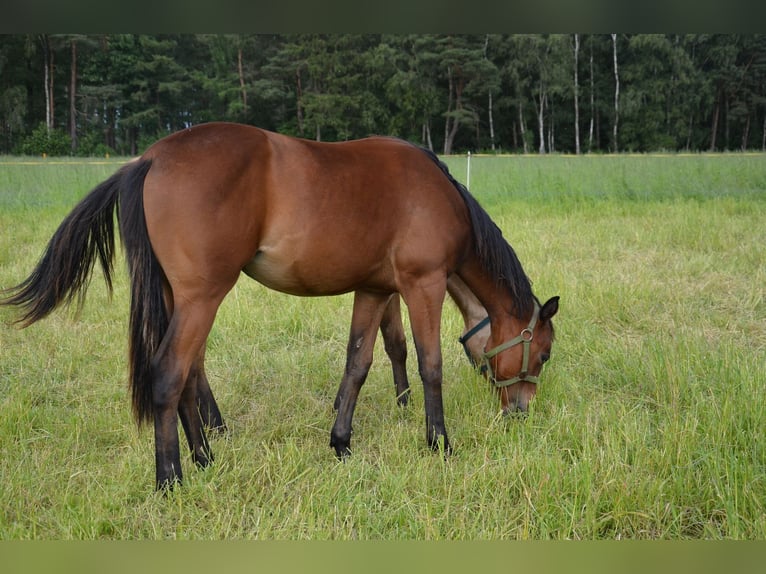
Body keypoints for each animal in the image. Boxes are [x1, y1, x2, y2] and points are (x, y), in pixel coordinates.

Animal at [0, 121, 560, 490]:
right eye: (544, 353)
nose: (521, 412)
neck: (437, 193)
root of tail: (150, 159)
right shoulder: (422, 285)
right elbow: (431, 364)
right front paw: (439, 442)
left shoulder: (375, 290)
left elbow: (359, 362)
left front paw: (341, 441)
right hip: (203, 298)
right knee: (170, 374)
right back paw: (171, 477)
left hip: (181, 299)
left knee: (188, 376)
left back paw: (204, 457)